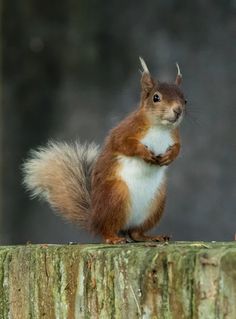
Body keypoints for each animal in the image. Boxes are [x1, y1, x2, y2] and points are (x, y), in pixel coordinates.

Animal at [23, 57, 186, 245]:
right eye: (156, 97)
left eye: (185, 99)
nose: (178, 110)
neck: (160, 127)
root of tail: (94, 219)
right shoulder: (125, 130)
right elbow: (124, 144)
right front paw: (144, 153)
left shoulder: (175, 137)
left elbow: (178, 149)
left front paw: (169, 157)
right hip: (116, 194)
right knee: (106, 230)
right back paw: (113, 238)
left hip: (156, 202)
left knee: (136, 233)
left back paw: (152, 237)